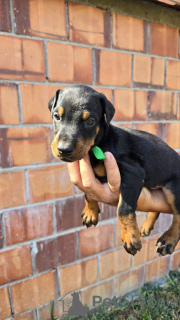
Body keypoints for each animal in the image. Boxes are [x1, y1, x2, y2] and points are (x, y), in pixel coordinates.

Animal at [48, 84, 180, 255]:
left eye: (90, 121)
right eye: (57, 116)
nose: (64, 149)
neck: (98, 145)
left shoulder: (133, 174)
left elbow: (123, 208)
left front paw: (130, 237)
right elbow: (88, 194)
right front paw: (90, 212)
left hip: (174, 188)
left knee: (178, 215)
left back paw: (168, 240)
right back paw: (147, 225)